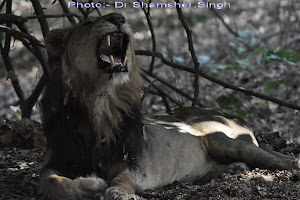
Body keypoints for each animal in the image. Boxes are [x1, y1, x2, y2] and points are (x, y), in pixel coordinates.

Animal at [39, 12, 298, 200]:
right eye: (88, 22)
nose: (118, 17)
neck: (100, 101)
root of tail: (227, 114)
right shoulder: (58, 159)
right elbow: (50, 182)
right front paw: (90, 184)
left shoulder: (129, 160)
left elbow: (122, 179)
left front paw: (117, 192)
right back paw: (232, 170)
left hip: (224, 141)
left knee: (271, 157)